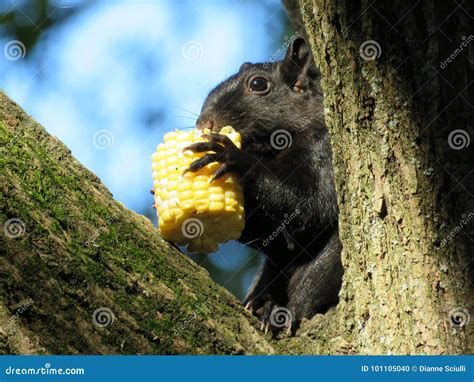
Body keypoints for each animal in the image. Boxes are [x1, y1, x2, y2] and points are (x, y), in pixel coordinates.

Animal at [183, 37, 342, 332]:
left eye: (258, 84)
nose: (204, 123)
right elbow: (276, 238)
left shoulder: (327, 151)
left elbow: (310, 206)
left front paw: (230, 156)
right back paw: (262, 305)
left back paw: (281, 313)